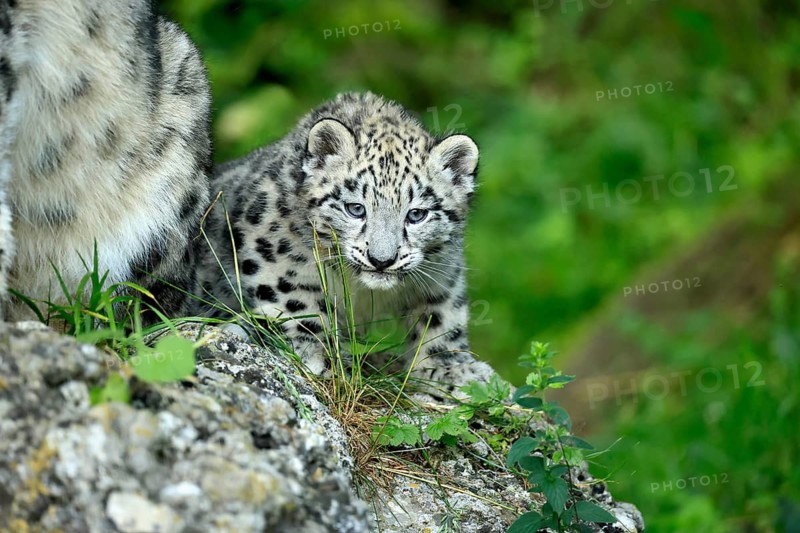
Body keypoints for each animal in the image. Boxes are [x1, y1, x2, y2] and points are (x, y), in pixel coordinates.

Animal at [194, 92, 495, 392]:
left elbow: (442, 317)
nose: (382, 260)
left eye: (416, 214)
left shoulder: (442, 272)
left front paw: (452, 370)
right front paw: (322, 354)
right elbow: (299, 301)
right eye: (356, 209)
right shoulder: (270, 251)